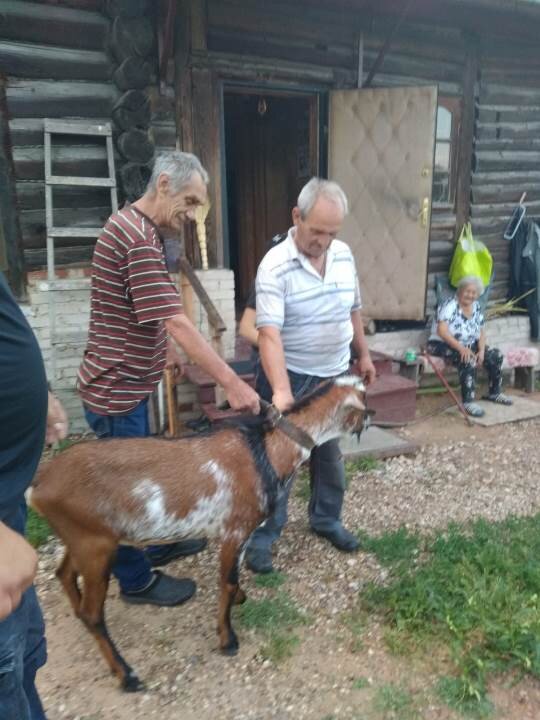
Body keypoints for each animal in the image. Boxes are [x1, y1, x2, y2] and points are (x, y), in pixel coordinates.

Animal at [31, 374, 370, 688]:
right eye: (363, 403)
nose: (372, 416)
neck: (268, 450)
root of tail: (40, 484)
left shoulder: (242, 532)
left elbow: (234, 578)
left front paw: (240, 599)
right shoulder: (234, 528)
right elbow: (227, 582)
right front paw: (227, 639)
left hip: (81, 538)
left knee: (64, 574)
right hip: (95, 545)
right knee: (93, 613)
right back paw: (125, 674)